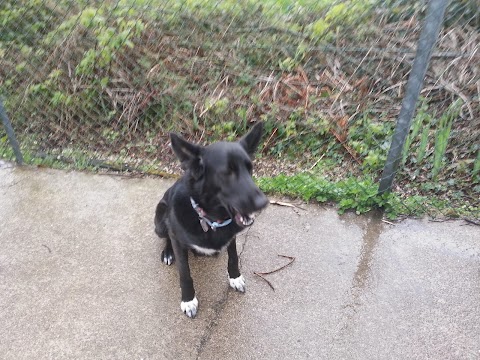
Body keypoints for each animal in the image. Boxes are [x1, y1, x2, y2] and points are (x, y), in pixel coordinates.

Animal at [155, 121, 268, 318]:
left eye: (250, 168)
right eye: (227, 172)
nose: (263, 203)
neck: (211, 219)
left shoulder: (231, 236)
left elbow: (233, 257)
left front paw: (235, 277)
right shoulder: (178, 240)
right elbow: (185, 274)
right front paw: (188, 300)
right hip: (160, 221)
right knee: (167, 236)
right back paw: (168, 253)